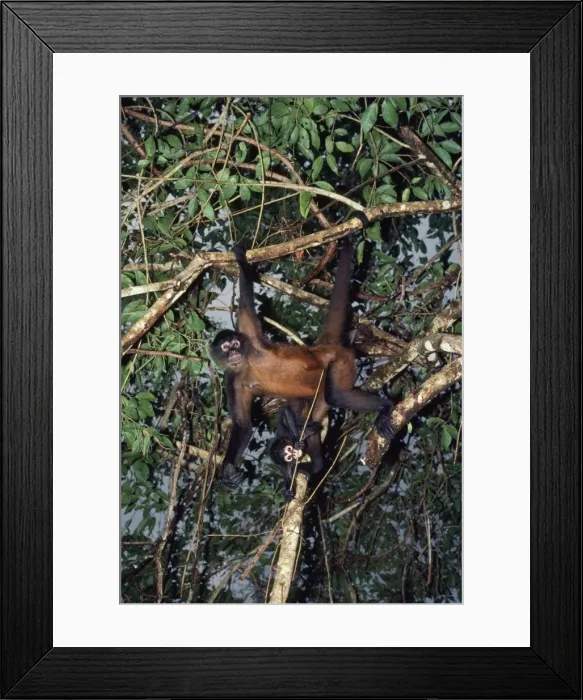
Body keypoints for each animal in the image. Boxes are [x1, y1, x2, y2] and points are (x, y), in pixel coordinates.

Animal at [209, 211, 395, 490]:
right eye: (225, 348)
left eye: (234, 344)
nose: (233, 353)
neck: (246, 364)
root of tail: (322, 348)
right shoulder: (233, 378)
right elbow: (243, 425)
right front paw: (229, 470)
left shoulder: (250, 339)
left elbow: (246, 301)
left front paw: (240, 259)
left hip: (341, 362)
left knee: (336, 394)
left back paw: (385, 406)